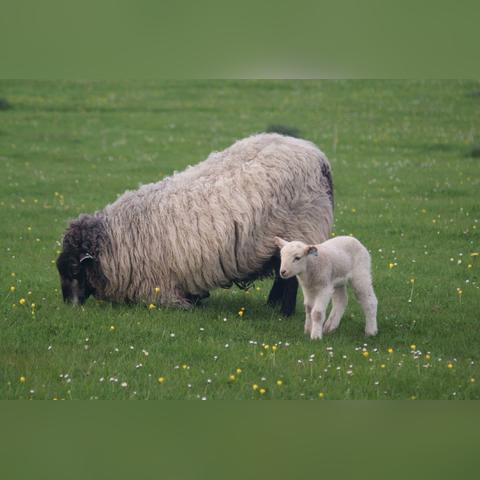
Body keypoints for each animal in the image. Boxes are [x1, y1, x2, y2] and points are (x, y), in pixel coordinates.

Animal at [56, 132, 334, 316]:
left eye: (74, 271)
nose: (68, 306)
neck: (116, 240)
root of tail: (318, 157)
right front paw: (199, 298)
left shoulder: (158, 286)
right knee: (281, 273)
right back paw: (273, 306)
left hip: (300, 227)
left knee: (289, 280)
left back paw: (283, 312)